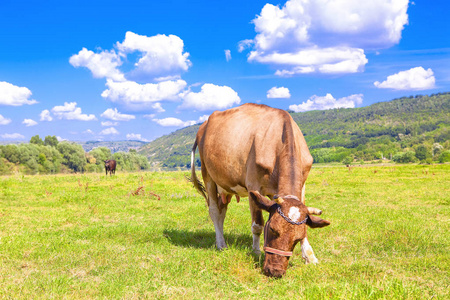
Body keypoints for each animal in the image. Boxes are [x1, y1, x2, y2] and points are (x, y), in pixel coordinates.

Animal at [190, 104, 330, 278]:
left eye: (296, 239)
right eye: (272, 229)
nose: (275, 271)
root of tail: (203, 126)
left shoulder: (302, 185)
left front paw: (310, 256)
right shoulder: (253, 186)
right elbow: (257, 224)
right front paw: (256, 251)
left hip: (226, 186)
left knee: (222, 212)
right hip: (208, 174)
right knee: (215, 211)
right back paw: (221, 244)